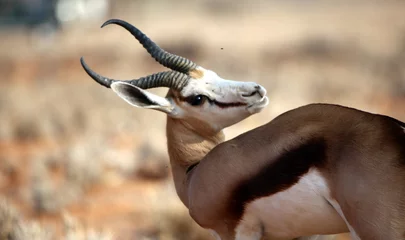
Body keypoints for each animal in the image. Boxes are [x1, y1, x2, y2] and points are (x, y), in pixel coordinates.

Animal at [81, 18, 404, 240]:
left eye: (213, 74)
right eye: (197, 97)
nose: (256, 91)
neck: (195, 174)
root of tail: (394, 132)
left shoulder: (232, 232)